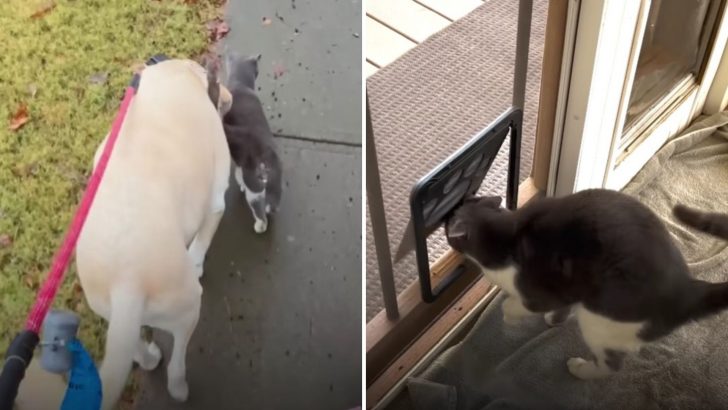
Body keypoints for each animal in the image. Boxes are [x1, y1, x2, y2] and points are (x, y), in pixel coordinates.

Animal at [76, 58, 230, 410]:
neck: (178, 74)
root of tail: (126, 283)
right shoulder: (217, 198)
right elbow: (201, 242)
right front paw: (198, 261)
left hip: (112, 314)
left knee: (129, 348)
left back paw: (148, 357)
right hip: (187, 307)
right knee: (177, 362)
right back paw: (180, 388)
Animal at [222, 52, 282, 232]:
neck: (241, 84)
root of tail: (267, 161)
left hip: (254, 191)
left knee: (261, 214)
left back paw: (259, 226)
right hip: (275, 184)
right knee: (272, 206)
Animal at [446, 191, 728, 380]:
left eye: (449, 222)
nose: (449, 212)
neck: (505, 233)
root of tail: (689, 290)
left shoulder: (538, 292)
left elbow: (511, 304)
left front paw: (510, 318)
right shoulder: (568, 286)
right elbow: (561, 306)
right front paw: (554, 320)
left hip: (600, 318)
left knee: (611, 366)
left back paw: (581, 369)